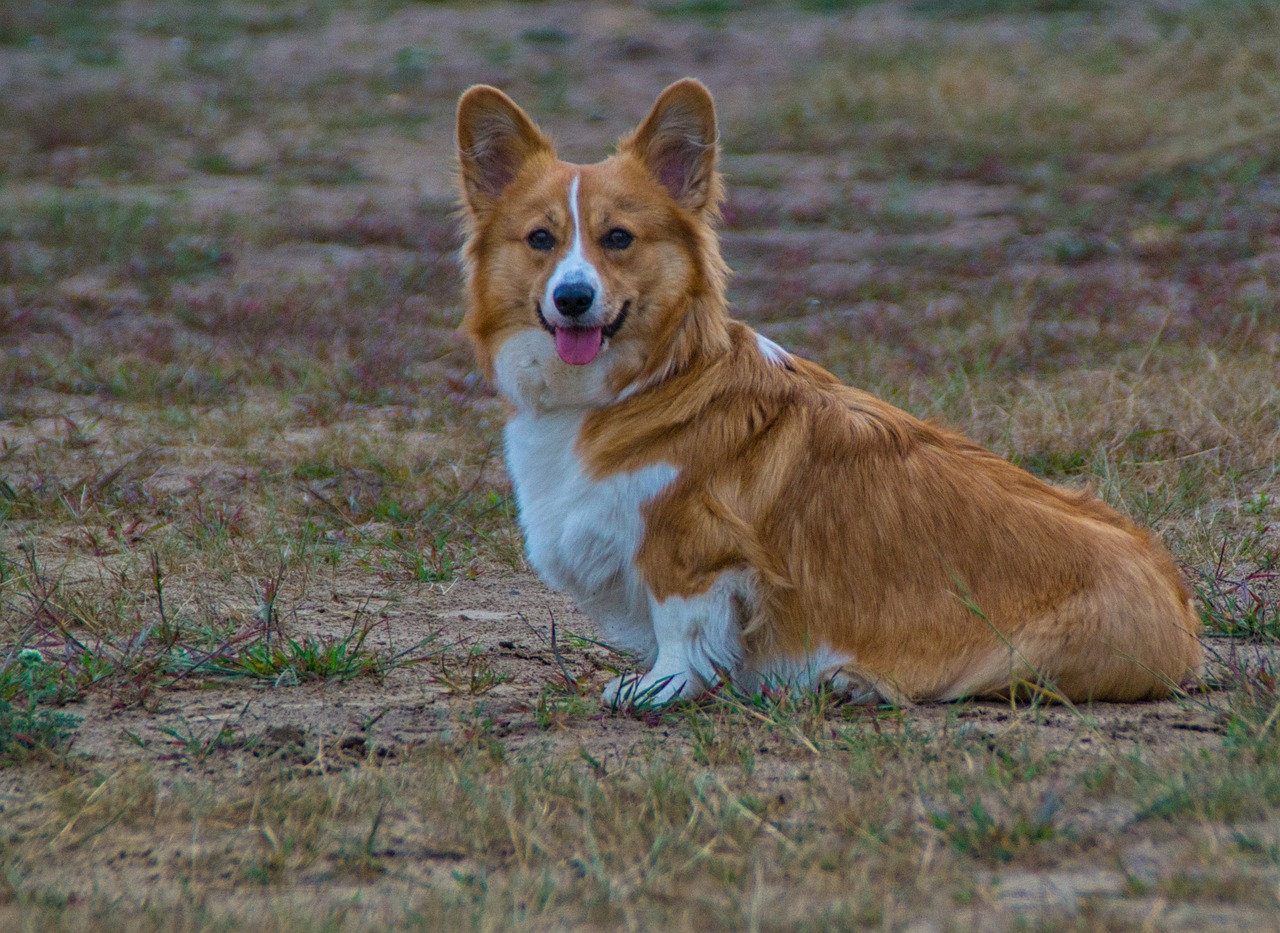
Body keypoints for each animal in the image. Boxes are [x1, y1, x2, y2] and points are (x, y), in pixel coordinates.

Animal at [455, 79, 1203, 706]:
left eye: (618, 238)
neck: (639, 380)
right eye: (541, 239)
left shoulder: (691, 549)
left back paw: (853, 682)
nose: (573, 298)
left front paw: (657, 689)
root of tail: (1183, 614)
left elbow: (682, 630)